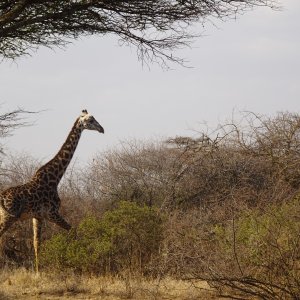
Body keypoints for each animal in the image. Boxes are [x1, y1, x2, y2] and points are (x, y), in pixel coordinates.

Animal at [0, 109, 104, 272]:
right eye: (90, 120)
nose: (102, 129)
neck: (55, 177)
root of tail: (1, 198)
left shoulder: (37, 216)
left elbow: (37, 243)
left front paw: (38, 272)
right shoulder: (52, 213)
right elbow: (73, 231)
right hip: (8, 217)